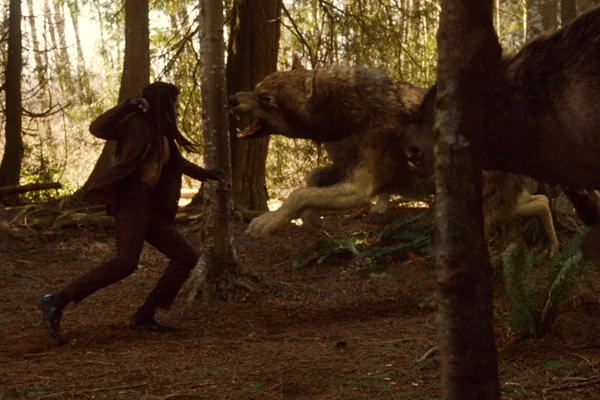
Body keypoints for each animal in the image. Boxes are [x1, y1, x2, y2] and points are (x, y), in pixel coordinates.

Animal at [229, 57, 559, 257]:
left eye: (266, 99)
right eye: (255, 88)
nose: (231, 98)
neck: (346, 113)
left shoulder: (361, 188)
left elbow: (298, 193)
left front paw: (267, 222)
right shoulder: (343, 168)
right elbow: (310, 180)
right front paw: (311, 220)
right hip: (503, 204)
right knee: (539, 201)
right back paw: (552, 248)